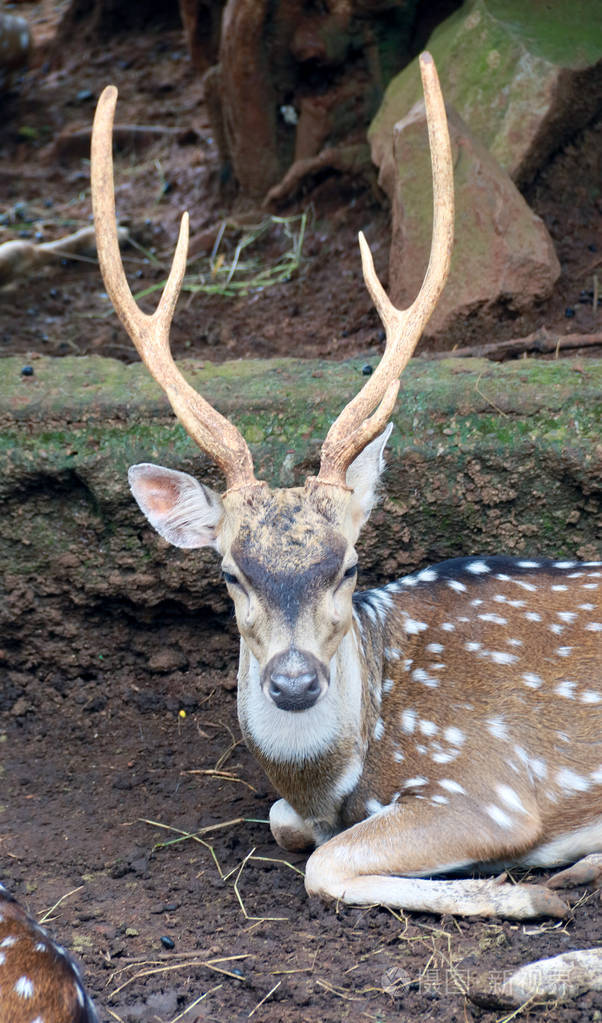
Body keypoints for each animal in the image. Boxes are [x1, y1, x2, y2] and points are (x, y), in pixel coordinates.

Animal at [90, 53, 602, 920]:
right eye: (229, 571)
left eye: (351, 564)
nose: (294, 680)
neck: (346, 767)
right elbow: (285, 822)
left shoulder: (487, 784)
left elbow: (325, 862)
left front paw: (528, 891)